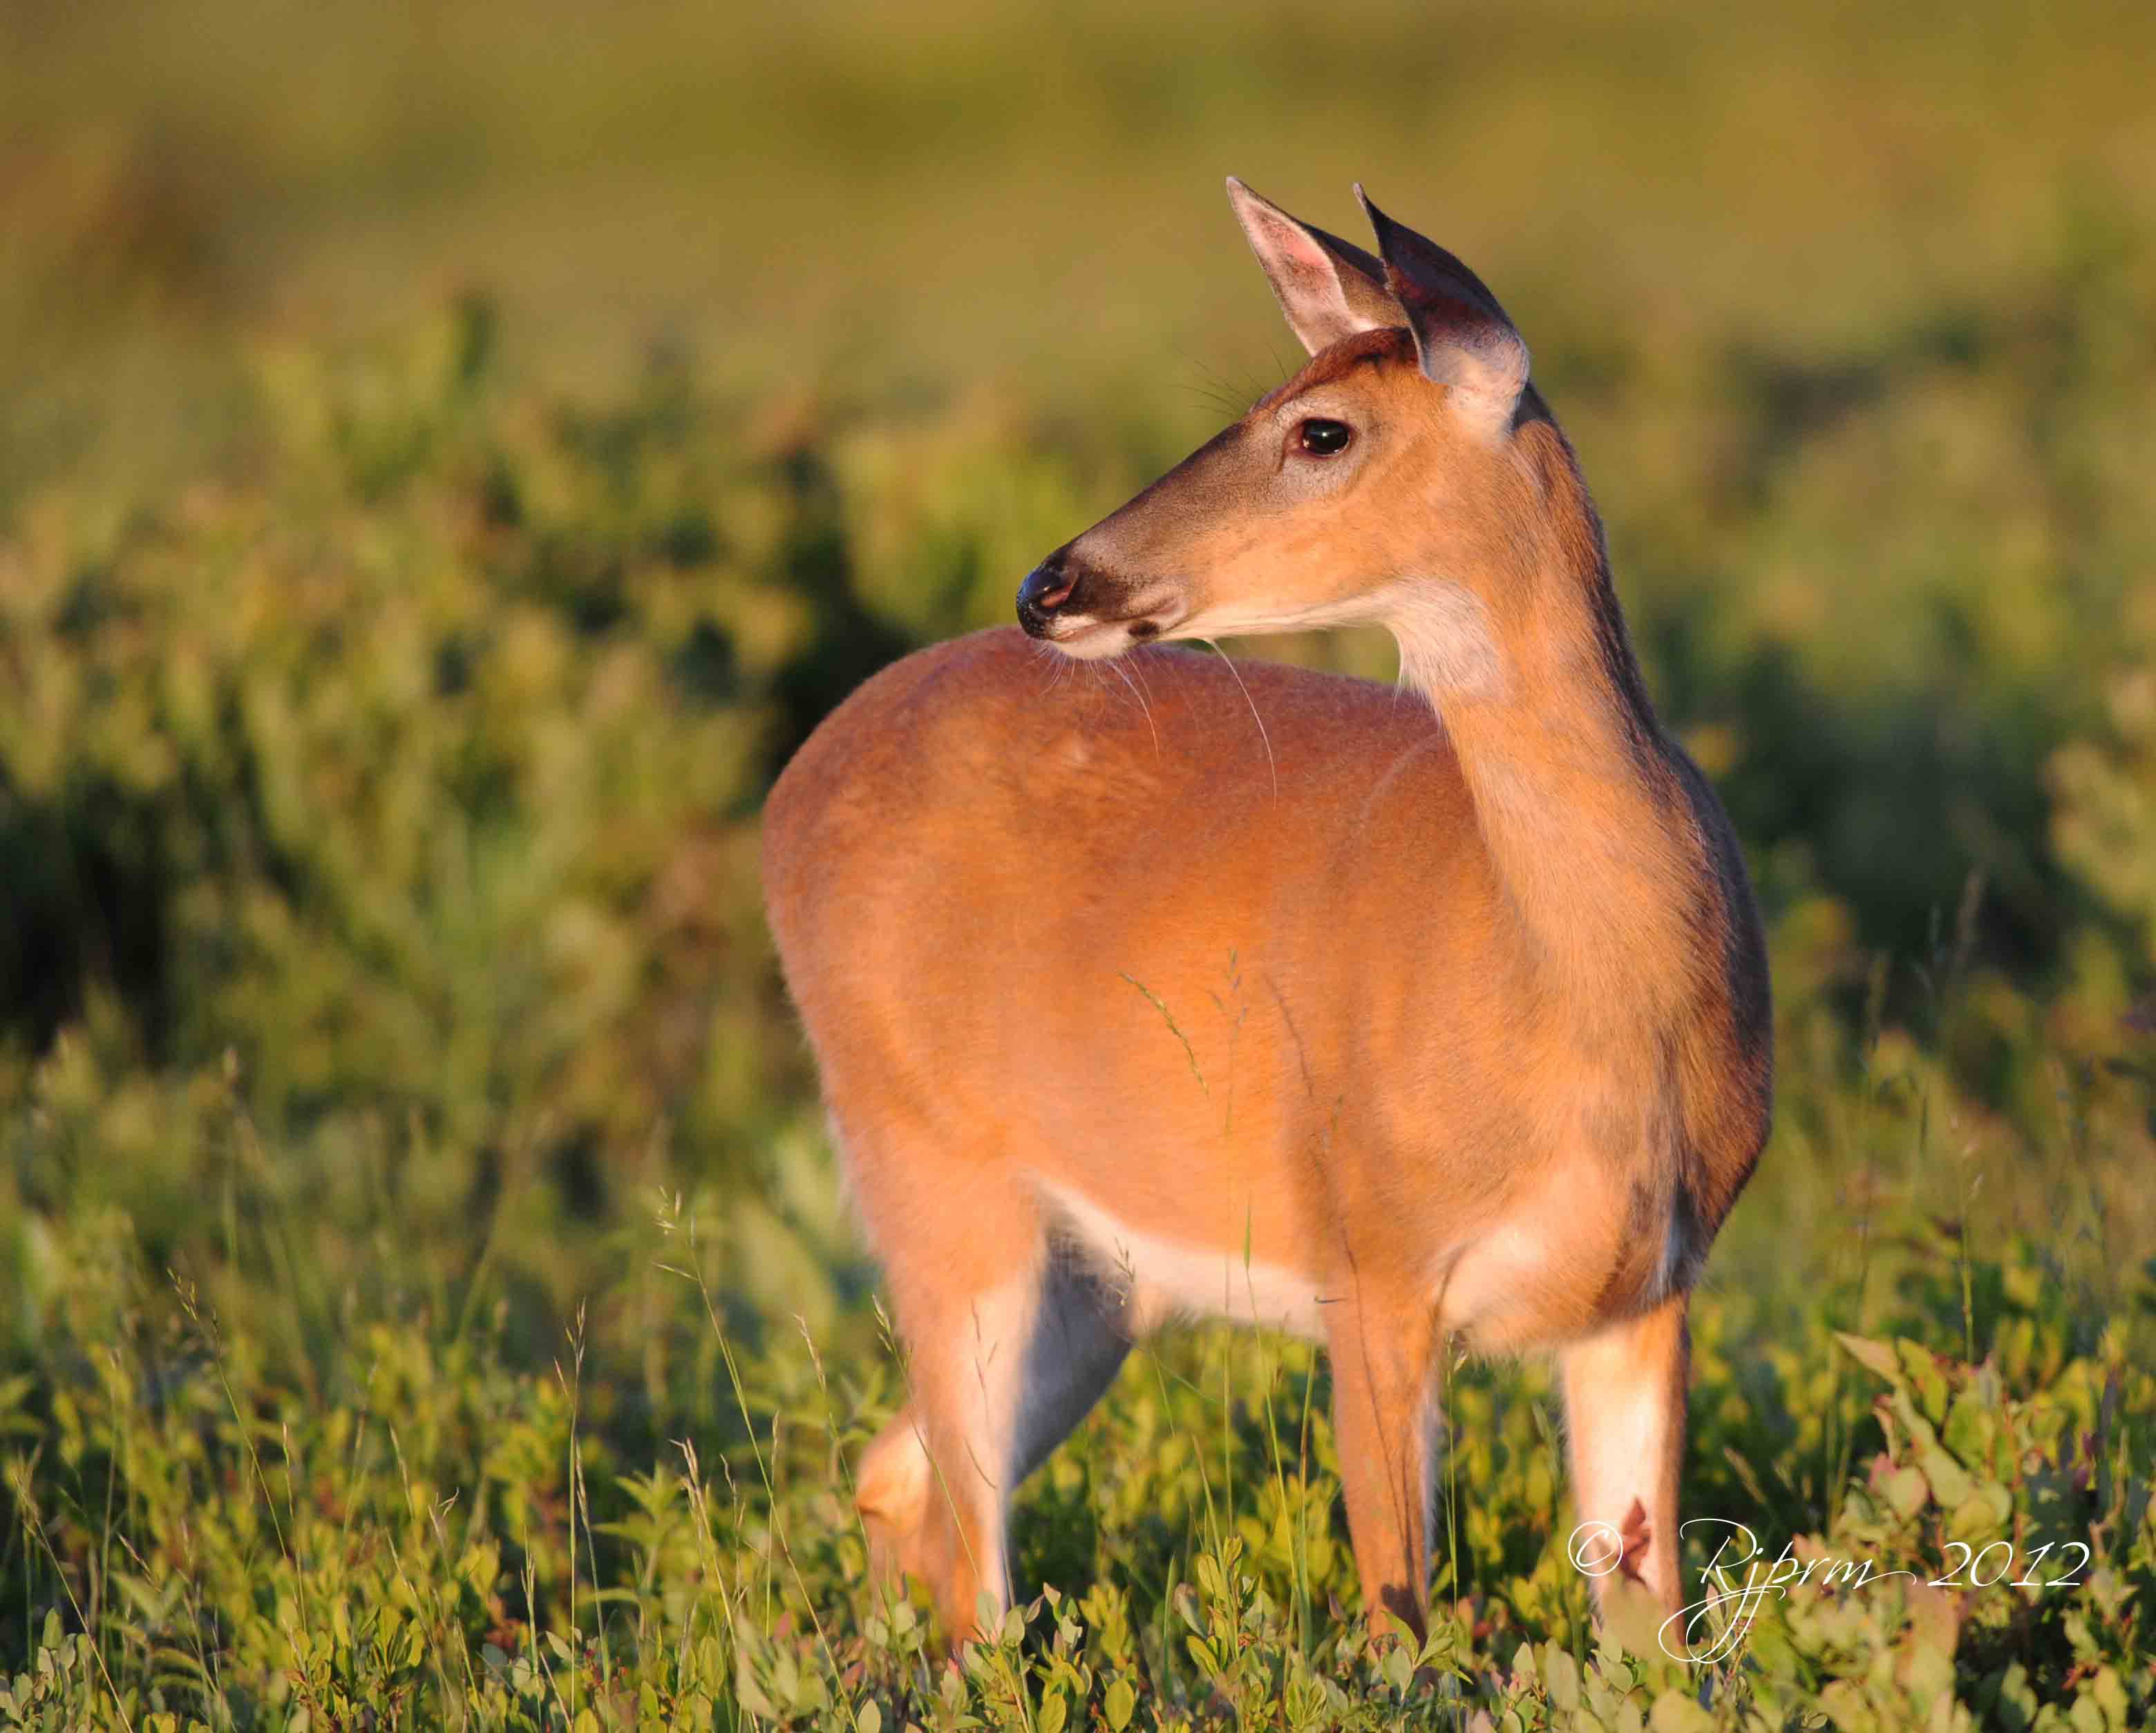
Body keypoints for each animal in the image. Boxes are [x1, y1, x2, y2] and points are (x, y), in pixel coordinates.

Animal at [759, 178, 1768, 1655]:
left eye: (1320, 427)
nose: (1052, 585)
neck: (1576, 1006)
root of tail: (787, 789)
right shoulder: (1371, 1251)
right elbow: (1402, 1626)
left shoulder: (1649, 1287)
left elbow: (1652, 1628)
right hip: (927, 1162)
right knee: (971, 1563)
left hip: (1098, 1278)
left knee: (897, 1477)